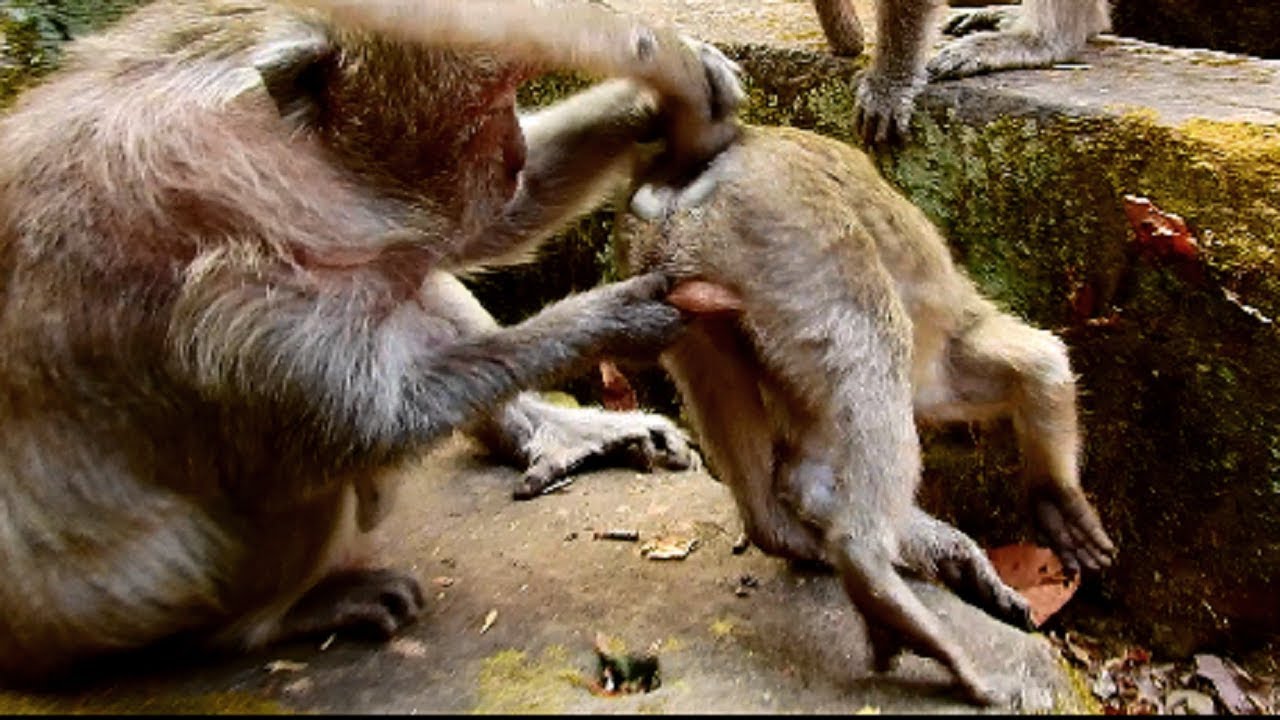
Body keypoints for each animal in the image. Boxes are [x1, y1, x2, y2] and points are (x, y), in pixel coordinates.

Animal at [0, 0, 747, 685]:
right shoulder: (224, 291)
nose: (512, 153)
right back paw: (283, 616)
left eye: (510, 93)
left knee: (411, 273)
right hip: (144, 611)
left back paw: (549, 432)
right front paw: (612, 315)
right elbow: (361, 424)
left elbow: (487, 228)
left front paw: (662, 96)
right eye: (483, 109)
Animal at [614, 123, 1117, 704]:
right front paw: (1057, 497)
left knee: (727, 377)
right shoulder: (942, 353)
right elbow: (1042, 365)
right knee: (877, 341)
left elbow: (812, 475)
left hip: (678, 289)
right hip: (795, 237)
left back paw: (781, 533)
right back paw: (871, 572)